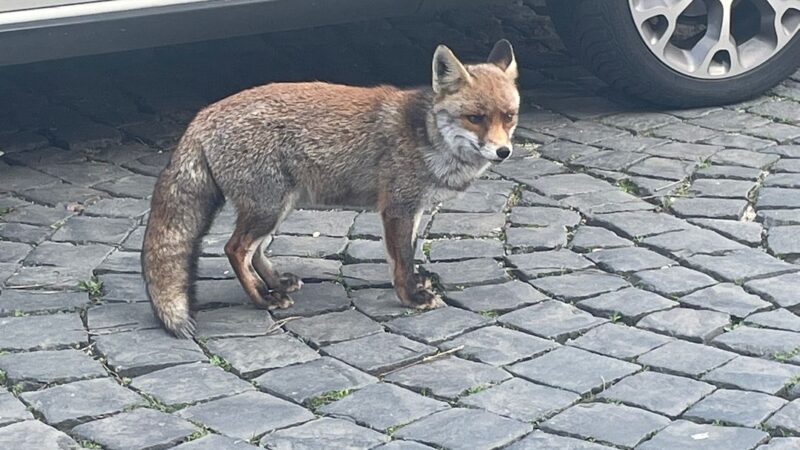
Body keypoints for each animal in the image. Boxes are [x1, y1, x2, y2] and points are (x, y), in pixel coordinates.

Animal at [141, 39, 520, 338]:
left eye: (509, 116)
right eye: (475, 118)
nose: (504, 152)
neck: (427, 135)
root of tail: (203, 114)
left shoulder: (414, 209)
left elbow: (406, 254)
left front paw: (416, 283)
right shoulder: (397, 207)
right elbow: (400, 260)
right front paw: (410, 297)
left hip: (279, 206)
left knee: (256, 252)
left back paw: (276, 283)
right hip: (268, 208)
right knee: (234, 249)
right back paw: (262, 299)